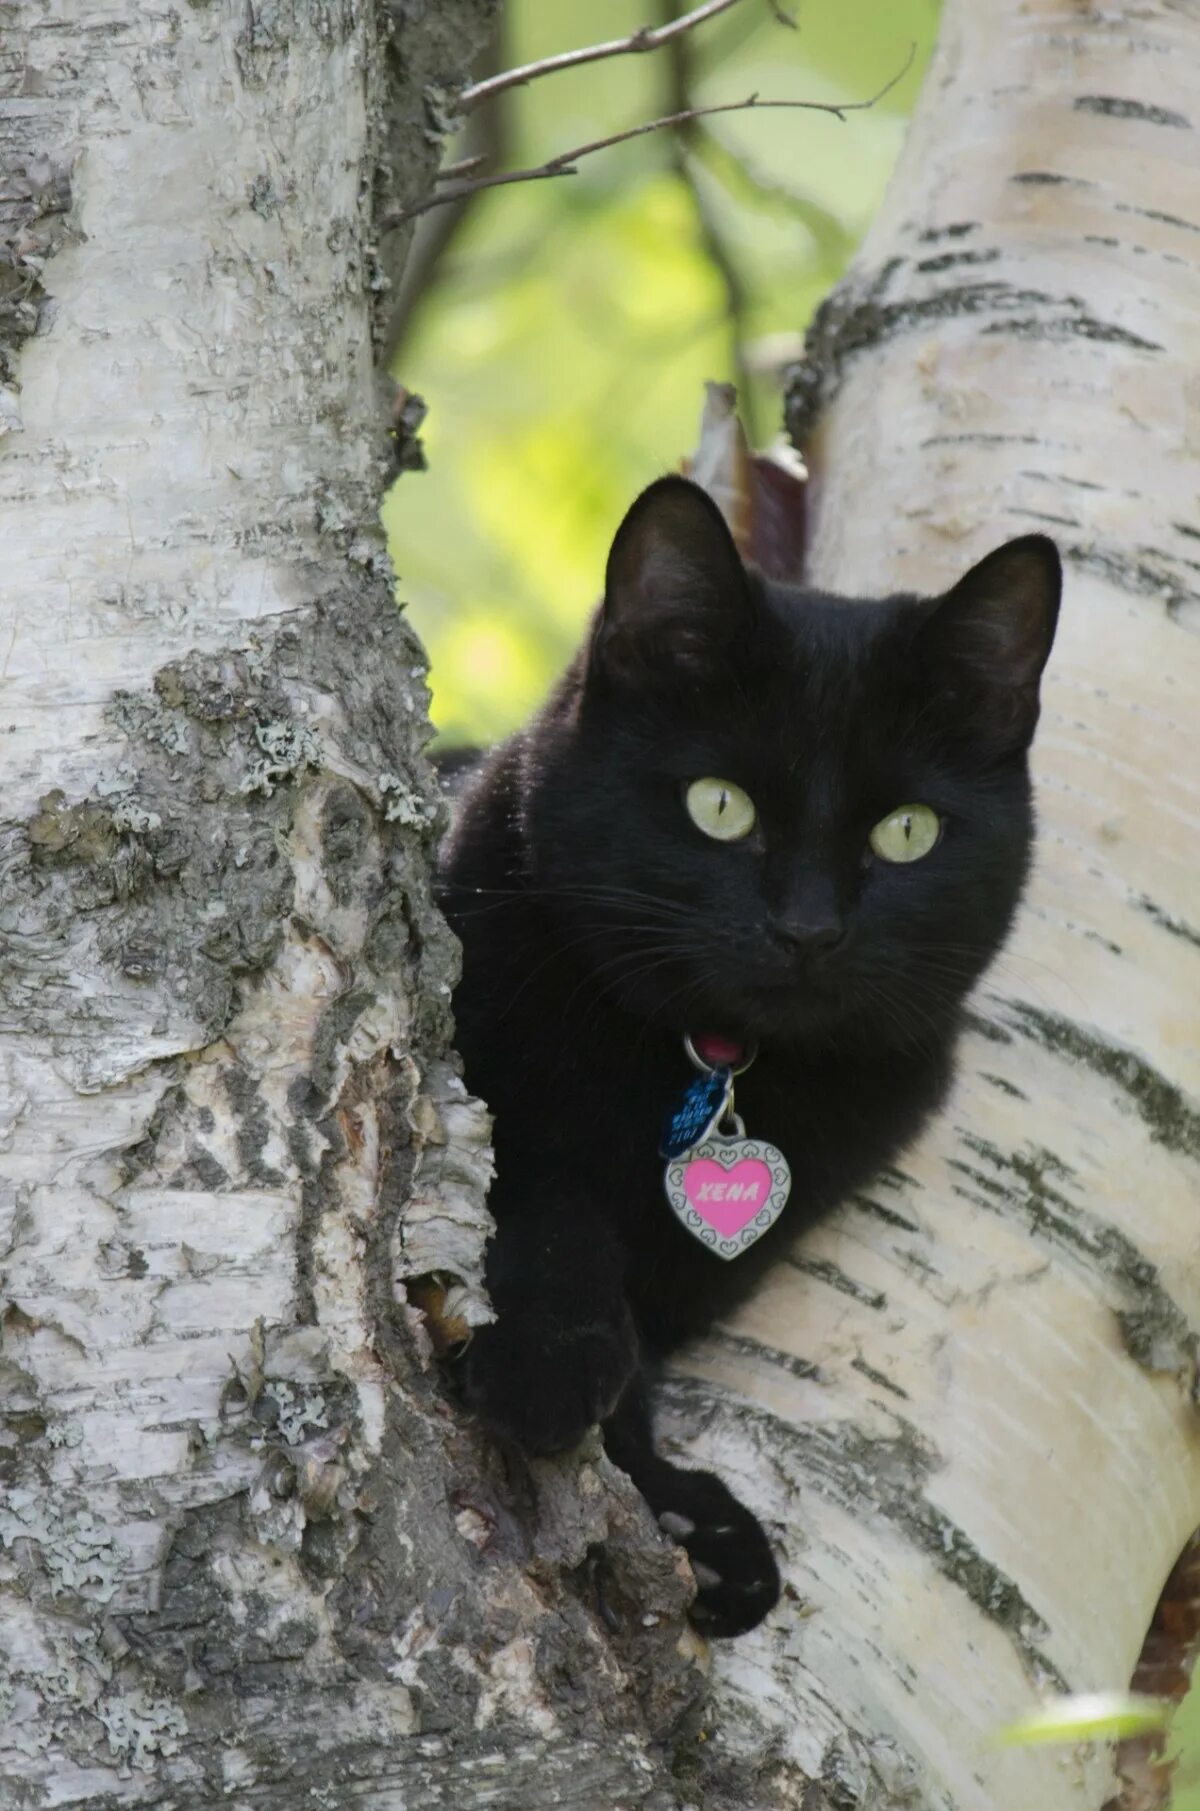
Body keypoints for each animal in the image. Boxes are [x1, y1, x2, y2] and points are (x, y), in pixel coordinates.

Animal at [437, 474, 1060, 1637]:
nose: (809, 927)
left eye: (908, 830)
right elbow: (537, 1199)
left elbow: (640, 1349)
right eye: (719, 805)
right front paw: (550, 1369)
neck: (703, 1062)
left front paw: (688, 1523)